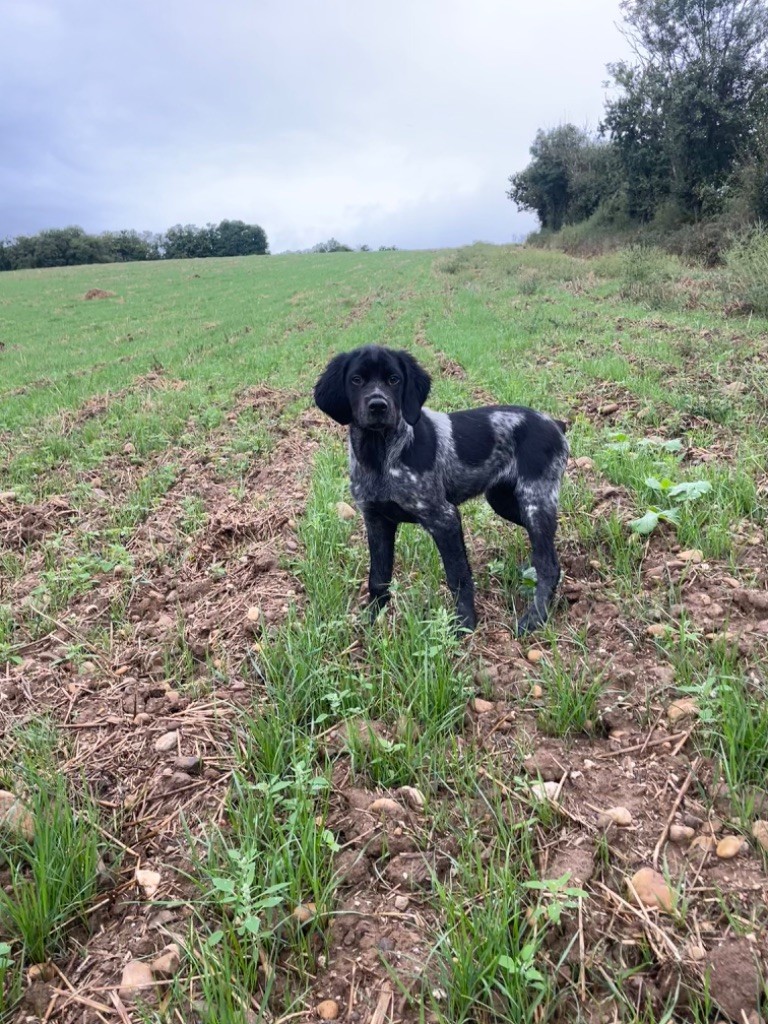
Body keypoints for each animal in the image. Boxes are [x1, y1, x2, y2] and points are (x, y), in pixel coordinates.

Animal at [313, 346, 573, 630]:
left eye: (394, 380)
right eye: (356, 380)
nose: (378, 405)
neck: (379, 454)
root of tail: (555, 423)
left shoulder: (444, 518)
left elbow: (458, 576)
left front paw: (465, 625)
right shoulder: (376, 520)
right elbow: (378, 578)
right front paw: (372, 620)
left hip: (534, 500)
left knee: (548, 565)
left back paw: (535, 617)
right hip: (505, 500)